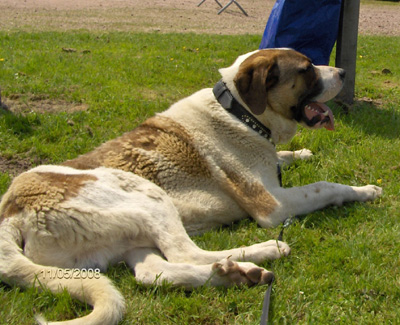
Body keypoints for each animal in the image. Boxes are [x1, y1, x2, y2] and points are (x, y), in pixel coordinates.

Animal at [0, 48, 382, 324]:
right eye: (306, 69)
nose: (344, 73)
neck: (240, 112)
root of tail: (11, 213)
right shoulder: (274, 204)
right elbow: (325, 186)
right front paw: (364, 190)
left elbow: (285, 157)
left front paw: (300, 153)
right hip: (146, 194)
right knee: (186, 253)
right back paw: (267, 250)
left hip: (128, 239)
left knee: (155, 273)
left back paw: (235, 275)